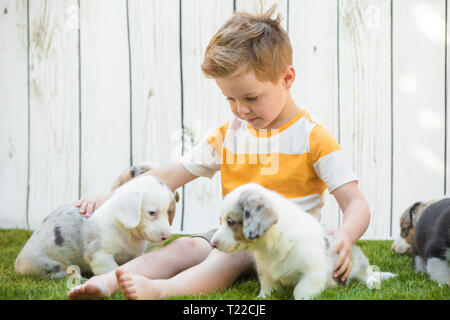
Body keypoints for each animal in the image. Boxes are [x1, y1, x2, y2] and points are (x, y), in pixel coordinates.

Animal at [14, 175, 176, 278]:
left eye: (168, 212)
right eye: (152, 212)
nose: (167, 236)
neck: (126, 232)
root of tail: (18, 263)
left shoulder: (135, 256)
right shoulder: (100, 253)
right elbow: (112, 270)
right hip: (51, 265)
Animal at [210, 184, 394, 298]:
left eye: (230, 222)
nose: (213, 243)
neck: (272, 245)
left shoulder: (313, 272)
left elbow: (300, 291)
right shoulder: (265, 272)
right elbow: (267, 287)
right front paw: (263, 296)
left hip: (358, 264)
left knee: (367, 273)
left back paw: (372, 279)